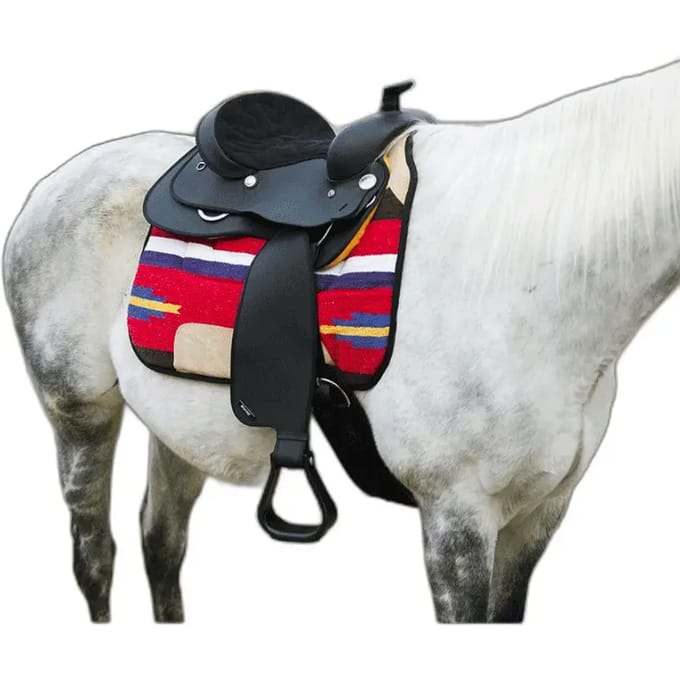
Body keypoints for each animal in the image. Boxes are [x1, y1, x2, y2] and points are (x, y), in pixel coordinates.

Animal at [4, 59, 680, 624]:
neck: (522, 267)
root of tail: (52, 183)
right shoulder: (457, 516)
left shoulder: (538, 515)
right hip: (80, 413)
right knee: (95, 556)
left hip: (179, 422)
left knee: (161, 544)